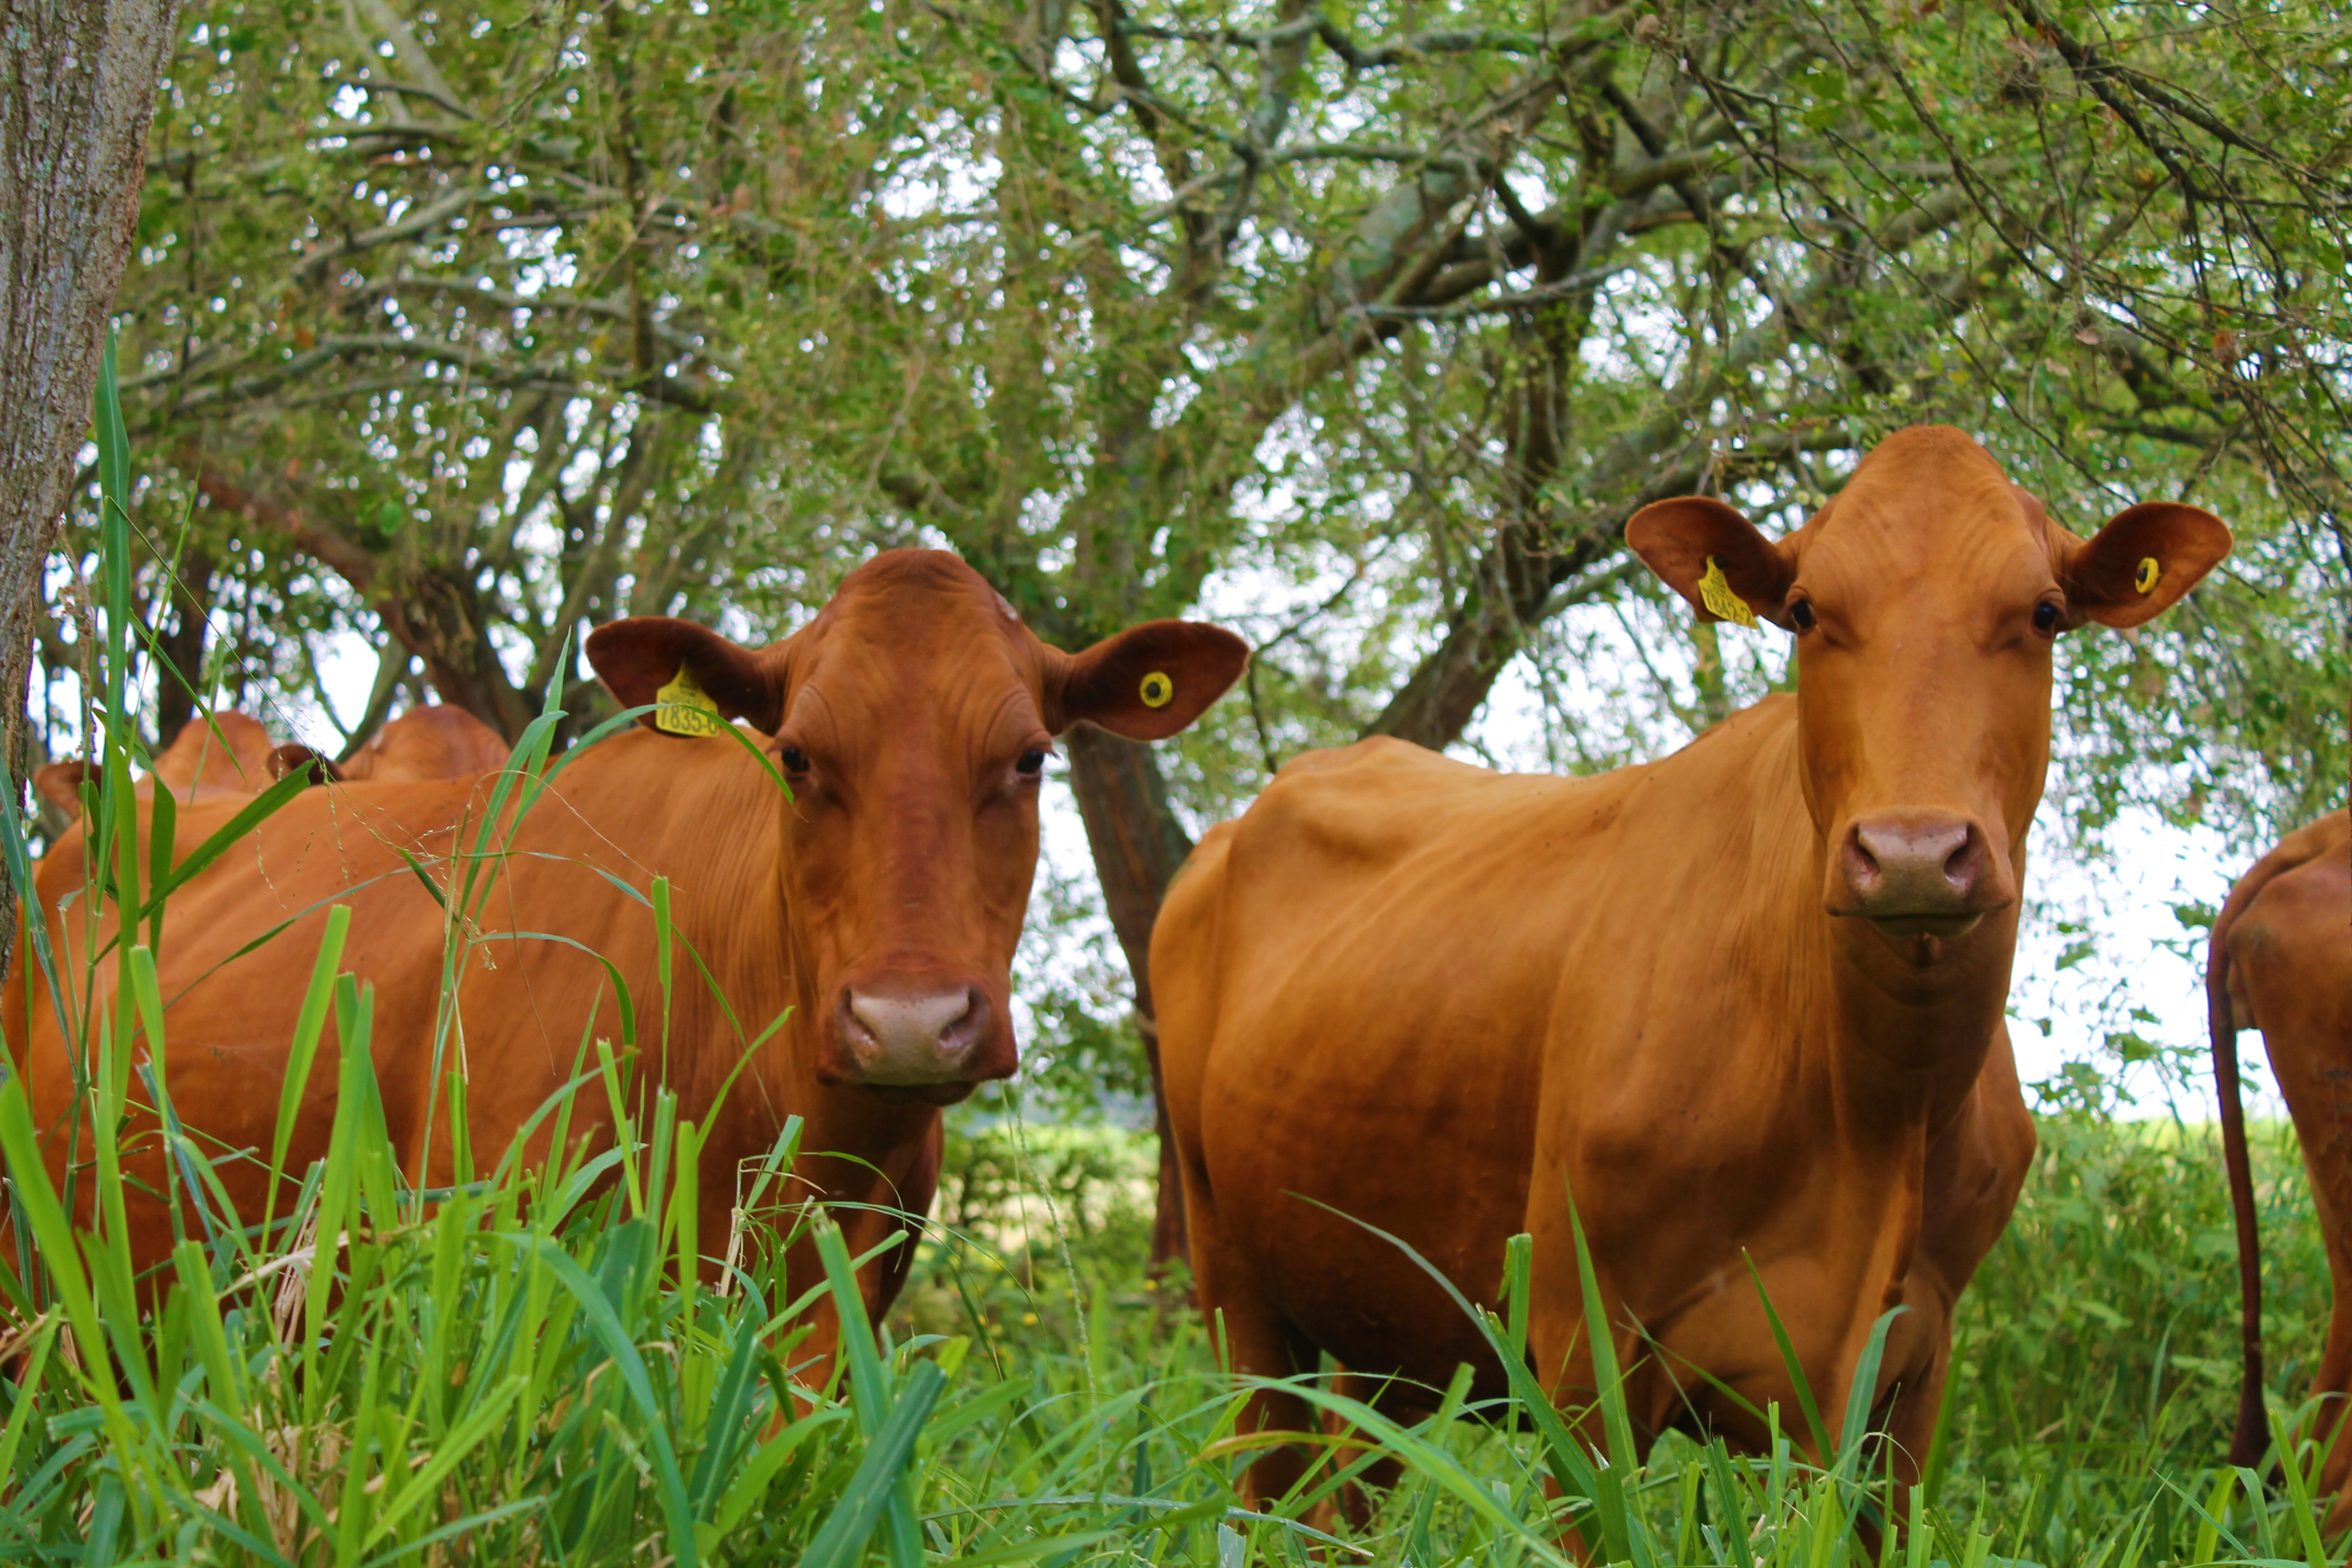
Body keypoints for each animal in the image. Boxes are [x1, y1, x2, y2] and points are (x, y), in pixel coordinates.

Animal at [1152, 425, 2220, 1523]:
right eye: (1805, 611)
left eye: (2045, 612)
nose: (1914, 852)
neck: (1877, 1113)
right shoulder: (1579, 1343)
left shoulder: (1910, 1374)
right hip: (1233, 1272)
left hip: (1380, 1310)